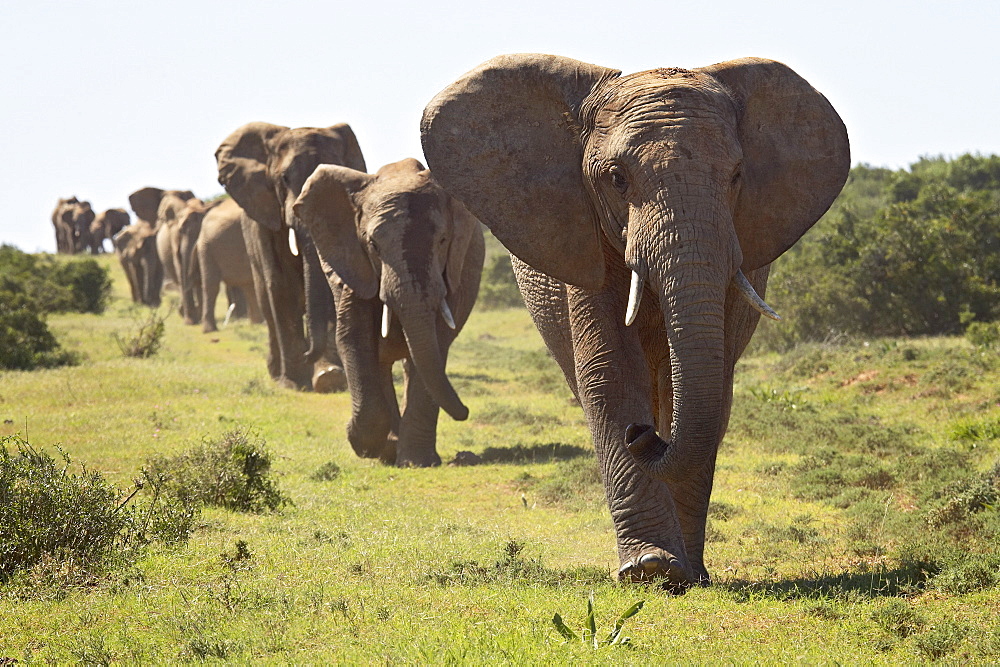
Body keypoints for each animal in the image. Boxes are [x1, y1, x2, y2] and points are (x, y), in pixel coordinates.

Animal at [215, 121, 364, 392]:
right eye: (285, 178)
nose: (308, 354)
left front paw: (329, 378)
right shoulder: (266, 214)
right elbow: (281, 285)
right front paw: (295, 383)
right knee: (267, 306)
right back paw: (277, 374)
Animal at [292, 159, 484, 468]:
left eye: (443, 241)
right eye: (373, 246)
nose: (465, 411)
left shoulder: (454, 272)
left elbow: (437, 343)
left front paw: (416, 462)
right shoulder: (355, 265)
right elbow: (353, 338)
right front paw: (362, 443)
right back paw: (387, 448)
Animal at [418, 56, 848, 588]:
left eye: (736, 176)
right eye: (617, 179)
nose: (642, 435)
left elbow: (710, 385)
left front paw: (682, 574)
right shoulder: (583, 235)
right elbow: (609, 372)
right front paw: (650, 569)